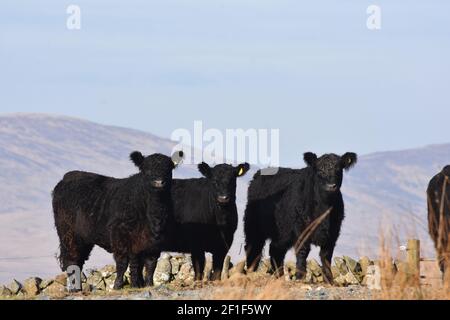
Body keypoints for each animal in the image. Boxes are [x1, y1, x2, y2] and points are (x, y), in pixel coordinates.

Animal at [53, 151, 185, 290]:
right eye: (146, 169)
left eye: (168, 169)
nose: (158, 182)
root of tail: (67, 176)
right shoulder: (121, 237)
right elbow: (123, 263)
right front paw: (118, 285)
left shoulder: (153, 242)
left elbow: (149, 264)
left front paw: (146, 284)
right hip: (68, 234)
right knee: (72, 259)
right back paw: (75, 289)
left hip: (84, 238)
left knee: (79, 259)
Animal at [244, 152, 356, 282]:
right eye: (319, 170)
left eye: (339, 169)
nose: (331, 186)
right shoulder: (302, 227)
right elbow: (303, 251)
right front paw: (300, 277)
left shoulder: (333, 232)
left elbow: (326, 255)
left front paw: (329, 280)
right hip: (253, 226)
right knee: (253, 248)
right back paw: (251, 272)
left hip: (283, 233)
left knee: (276, 250)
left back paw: (279, 276)